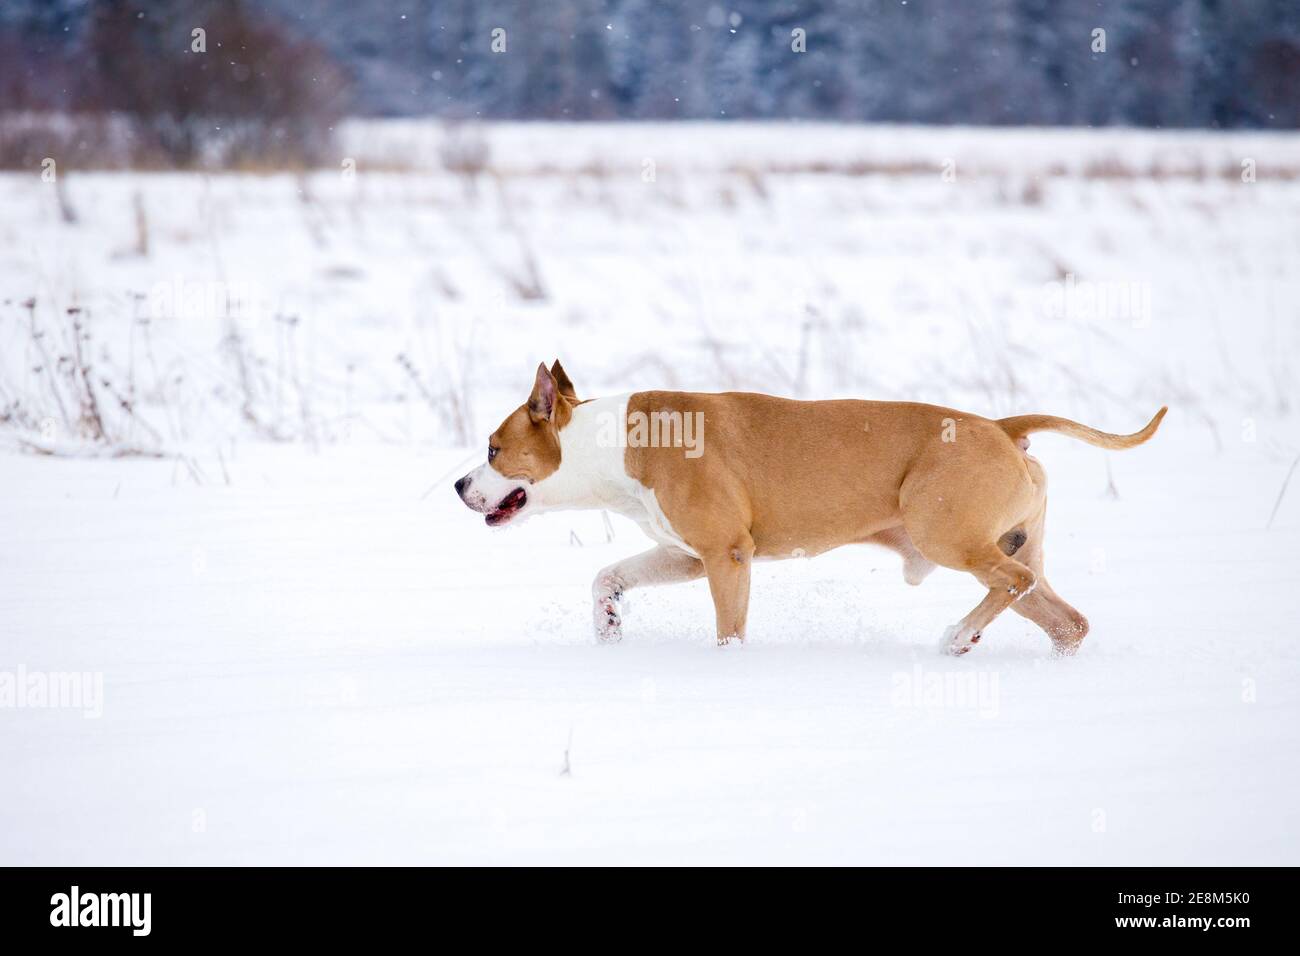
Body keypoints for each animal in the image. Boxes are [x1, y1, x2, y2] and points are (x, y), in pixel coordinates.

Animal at [454, 361, 1170, 658]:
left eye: (492, 448)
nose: (460, 485)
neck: (610, 444)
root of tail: (999, 426)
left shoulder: (727, 557)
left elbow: (730, 630)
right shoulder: (687, 556)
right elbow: (608, 576)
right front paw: (607, 630)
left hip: (946, 533)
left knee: (1011, 582)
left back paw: (958, 637)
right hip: (1012, 544)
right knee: (1064, 617)